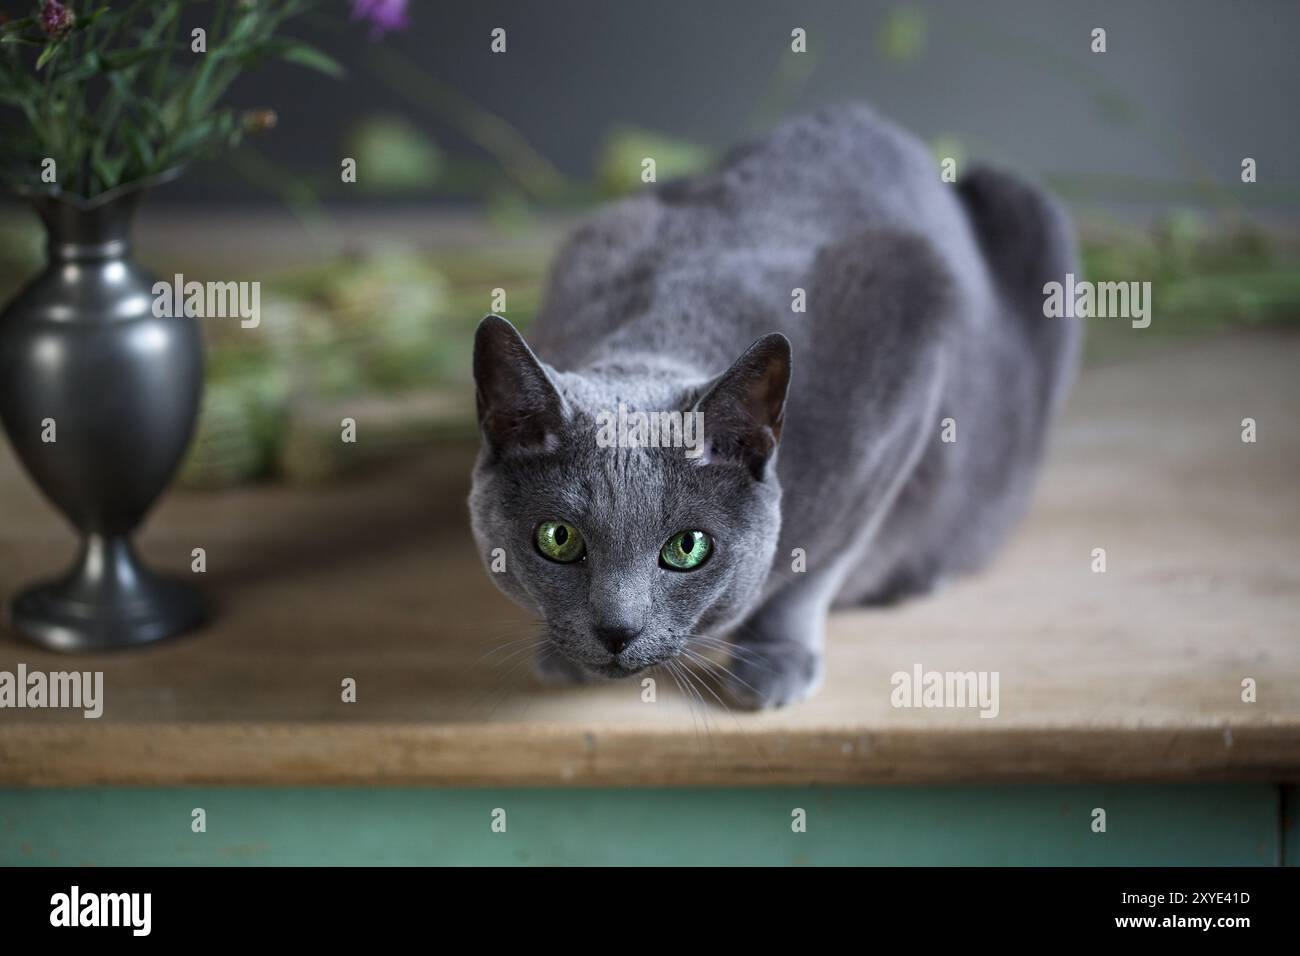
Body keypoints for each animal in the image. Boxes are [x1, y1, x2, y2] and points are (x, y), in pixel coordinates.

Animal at [467, 104, 1076, 712]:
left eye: (688, 548)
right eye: (558, 539)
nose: (617, 631)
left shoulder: (908, 337)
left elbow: (816, 567)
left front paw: (772, 663)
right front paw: (560, 655)